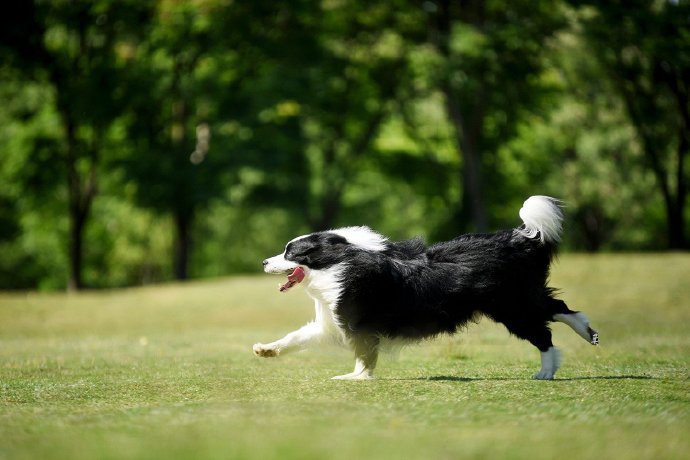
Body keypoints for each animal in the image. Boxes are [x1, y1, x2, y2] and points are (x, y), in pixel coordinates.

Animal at [254, 196, 596, 380]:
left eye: (290, 252)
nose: (263, 262)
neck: (336, 261)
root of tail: (520, 239)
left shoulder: (358, 324)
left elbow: (364, 354)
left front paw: (356, 378)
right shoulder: (332, 322)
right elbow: (297, 337)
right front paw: (266, 349)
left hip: (510, 307)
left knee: (544, 333)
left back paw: (547, 371)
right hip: (522, 297)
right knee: (560, 308)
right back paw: (588, 333)